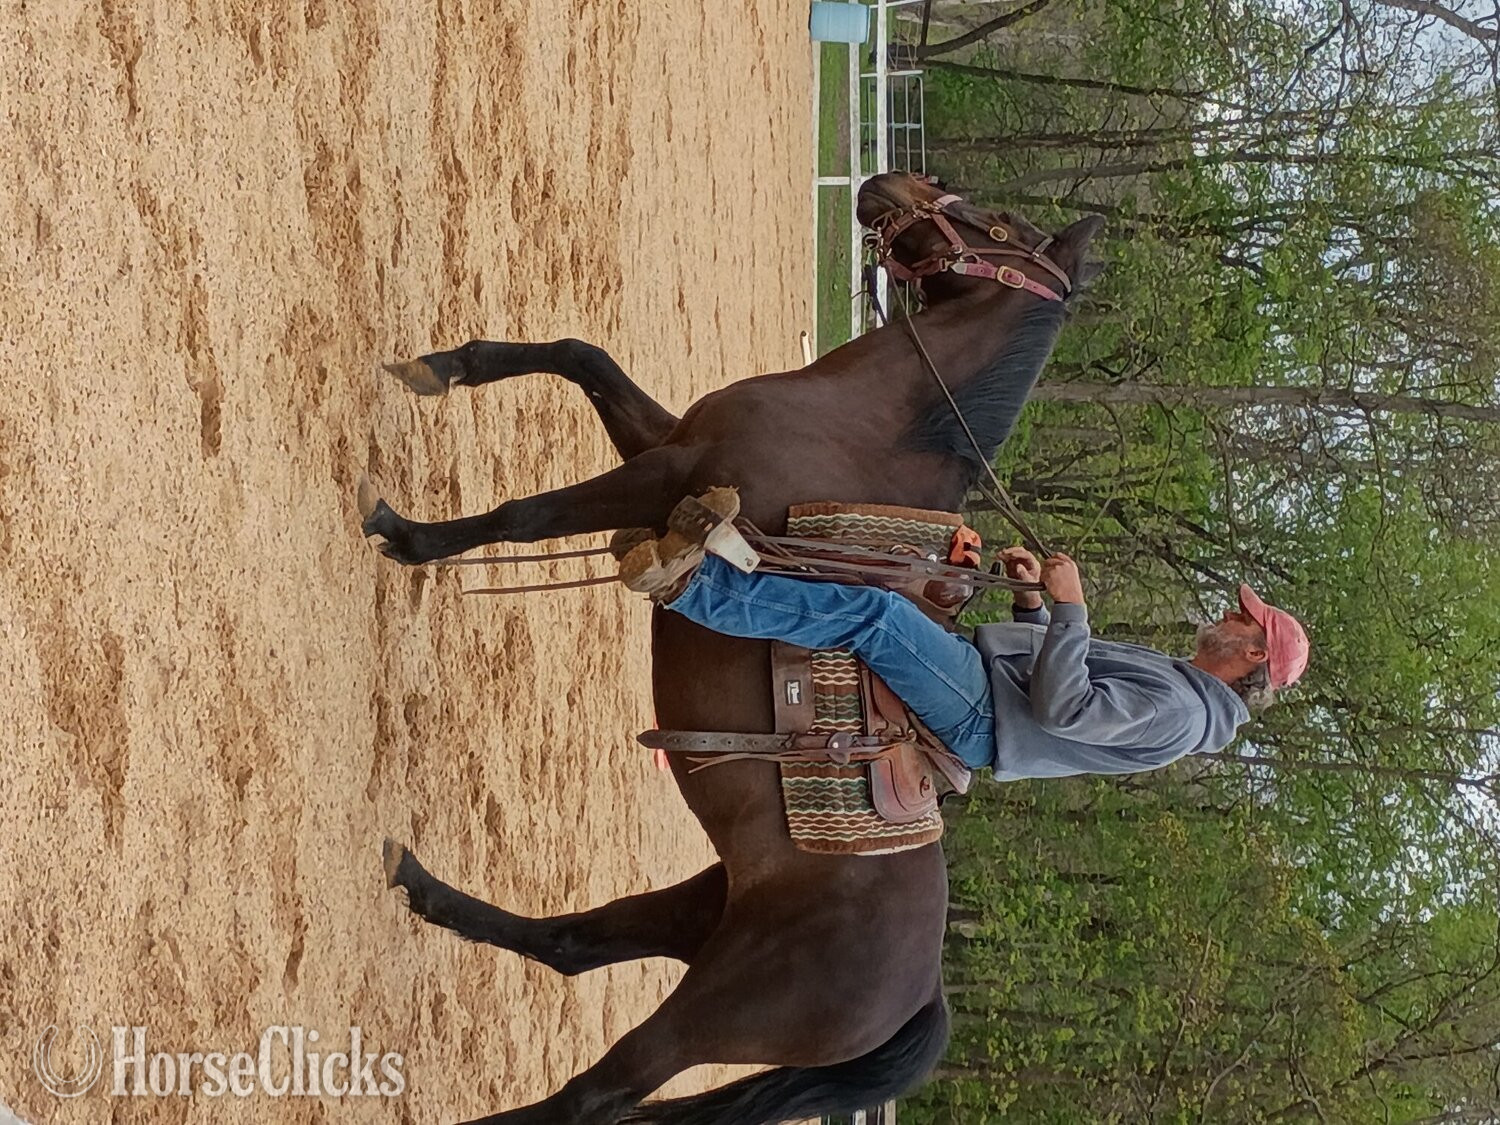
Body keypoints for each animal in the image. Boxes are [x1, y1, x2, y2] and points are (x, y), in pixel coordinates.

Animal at [364, 172, 1102, 1125]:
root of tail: (921, 993)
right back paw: (419, 884)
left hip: (722, 1002)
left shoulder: (661, 478)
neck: (863, 422)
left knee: (596, 1092)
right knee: (574, 946)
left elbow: (524, 514)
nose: (890, 184)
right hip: (703, 912)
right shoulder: (667, 446)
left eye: (1004, 227)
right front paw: (441, 366)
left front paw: (407, 536)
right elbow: (580, 354)